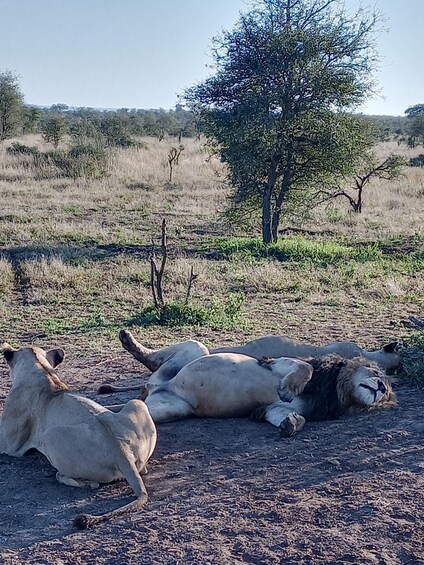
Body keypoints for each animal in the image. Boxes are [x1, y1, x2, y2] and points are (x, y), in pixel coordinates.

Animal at [0, 344, 157, 528]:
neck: (41, 370)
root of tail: (121, 453)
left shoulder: (10, 446)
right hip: (136, 404)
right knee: (143, 469)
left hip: (49, 436)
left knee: (78, 479)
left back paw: (82, 482)